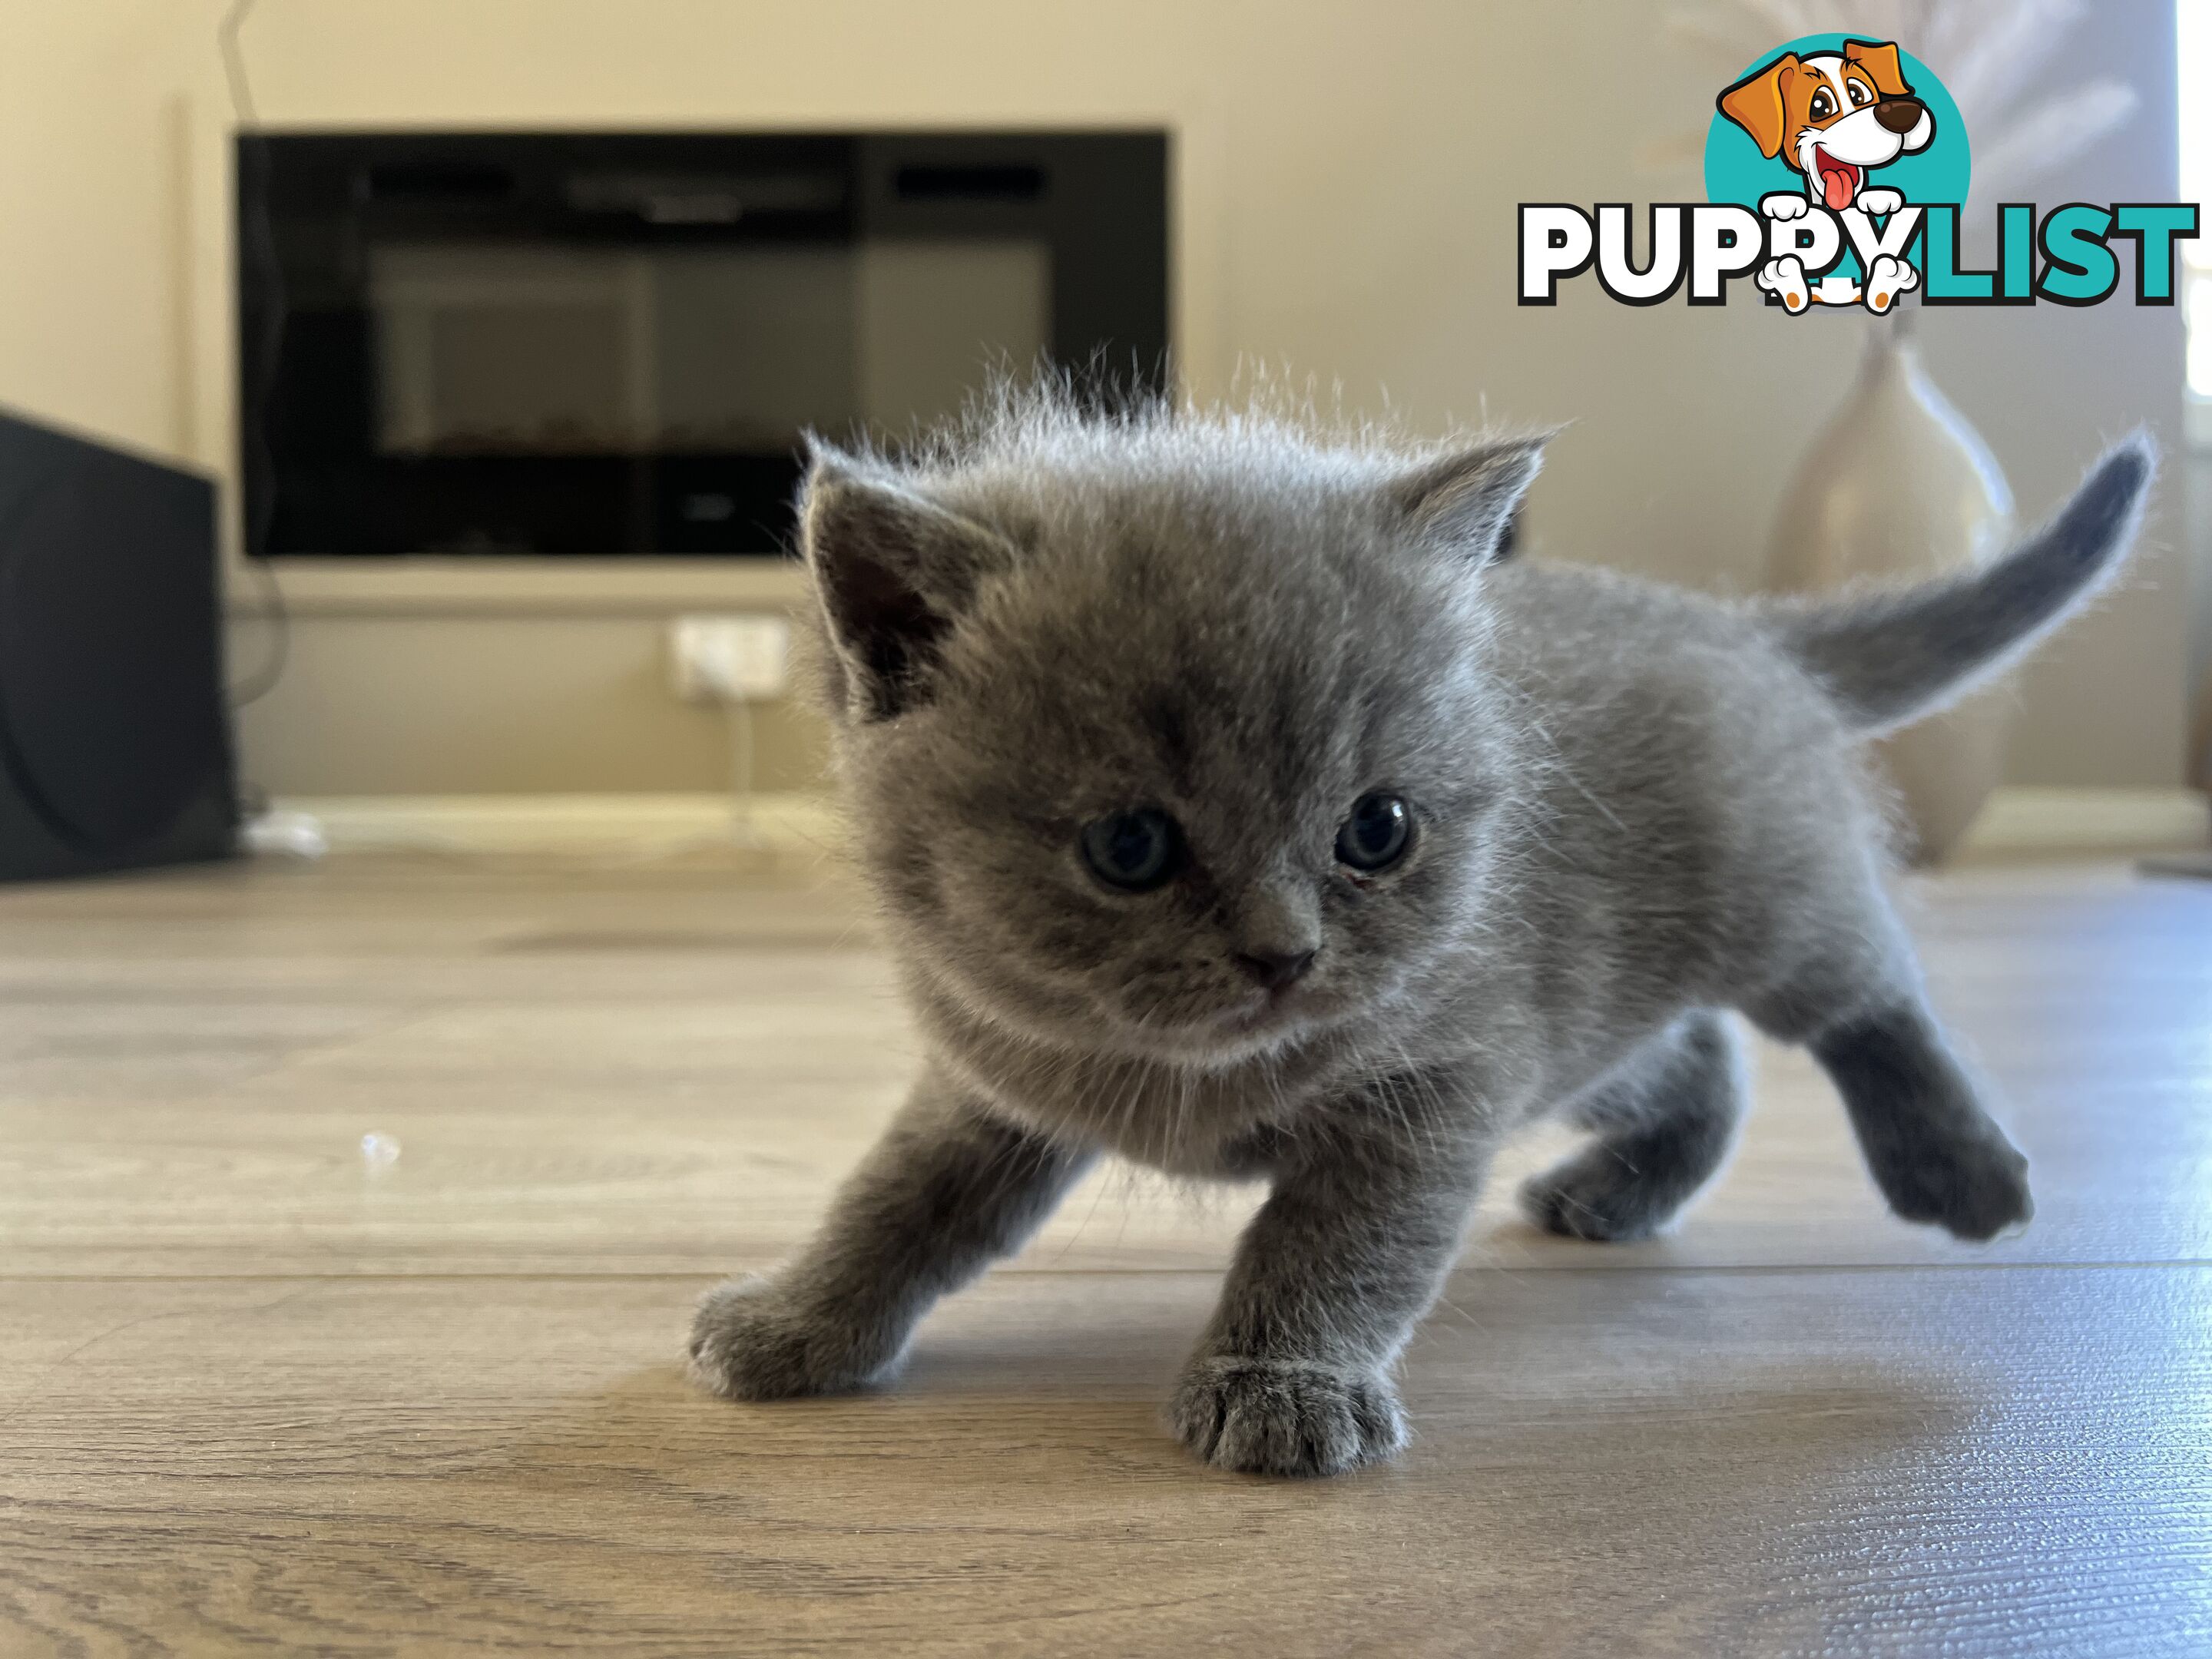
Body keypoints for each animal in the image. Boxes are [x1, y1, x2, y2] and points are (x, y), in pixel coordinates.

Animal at [685, 393, 2141, 1477]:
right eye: (1130, 848)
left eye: (1376, 831)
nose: (1285, 955)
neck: (1186, 1076)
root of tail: (1727, 621)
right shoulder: (994, 1075)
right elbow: (898, 1202)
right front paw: (796, 1320)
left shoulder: (1442, 1077)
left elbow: (1337, 1243)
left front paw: (1281, 1383)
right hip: (1588, 1008)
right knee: (1698, 1059)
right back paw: (1626, 1189)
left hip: (1765, 897)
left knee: (1863, 990)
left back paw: (1957, 1168)